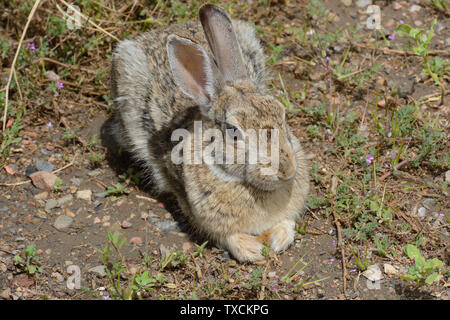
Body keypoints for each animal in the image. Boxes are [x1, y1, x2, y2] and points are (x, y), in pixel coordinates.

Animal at [110, 3, 310, 262]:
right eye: (233, 131)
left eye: (282, 114)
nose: (286, 171)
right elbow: (227, 237)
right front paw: (251, 250)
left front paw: (280, 238)